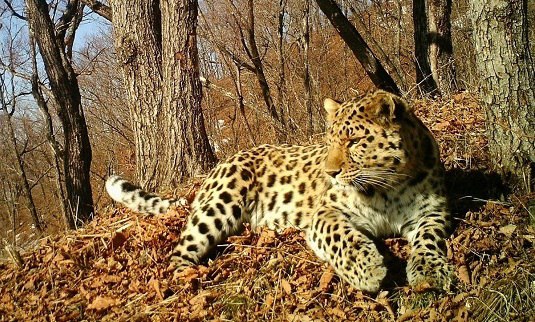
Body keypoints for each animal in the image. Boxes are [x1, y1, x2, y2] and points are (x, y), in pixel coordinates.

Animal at [107, 89, 454, 294]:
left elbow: (429, 238)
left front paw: (429, 273)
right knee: (178, 252)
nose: (330, 172)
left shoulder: (433, 210)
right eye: (329, 141)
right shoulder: (326, 212)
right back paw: (190, 279)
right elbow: (342, 238)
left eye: (354, 141)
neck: (389, 187)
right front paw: (368, 270)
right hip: (220, 203)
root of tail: (217, 168)